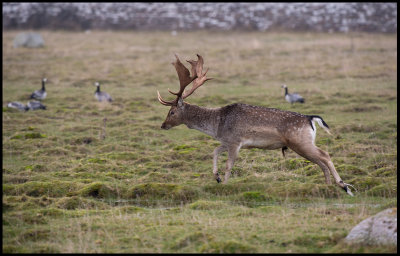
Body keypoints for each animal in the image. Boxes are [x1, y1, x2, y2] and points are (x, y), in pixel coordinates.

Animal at [158, 53, 354, 195]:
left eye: (172, 112)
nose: (163, 125)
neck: (217, 124)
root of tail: (311, 118)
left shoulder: (235, 141)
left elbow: (229, 165)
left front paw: (225, 184)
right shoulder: (227, 141)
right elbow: (214, 152)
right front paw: (217, 177)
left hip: (300, 141)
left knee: (325, 155)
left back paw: (343, 185)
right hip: (302, 144)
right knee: (320, 161)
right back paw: (328, 186)